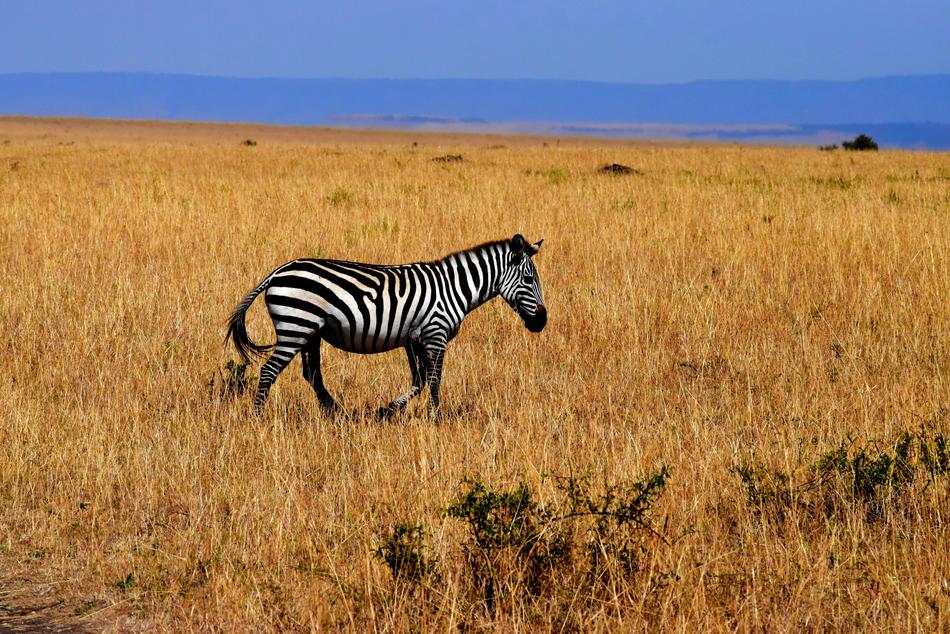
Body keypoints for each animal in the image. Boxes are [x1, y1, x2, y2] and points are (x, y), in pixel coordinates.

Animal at [225, 233, 547, 420]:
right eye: (529, 280)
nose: (542, 322)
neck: (453, 288)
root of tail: (277, 272)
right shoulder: (436, 333)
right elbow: (434, 380)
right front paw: (436, 418)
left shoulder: (413, 338)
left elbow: (419, 380)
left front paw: (388, 409)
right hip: (296, 327)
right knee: (269, 371)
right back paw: (258, 417)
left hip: (310, 332)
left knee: (312, 374)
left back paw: (337, 413)